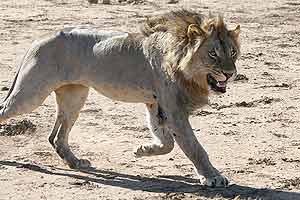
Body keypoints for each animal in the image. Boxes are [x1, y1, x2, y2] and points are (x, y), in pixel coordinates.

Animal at [0, 9, 240, 188]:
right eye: (213, 54)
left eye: (233, 52)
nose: (230, 73)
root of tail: (39, 39)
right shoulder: (173, 108)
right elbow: (193, 146)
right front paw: (213, 177)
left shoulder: (155, 103)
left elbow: (167, 142)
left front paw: (142, 150)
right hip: (30, 94)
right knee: (5, 110)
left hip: (74, 97)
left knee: (57, 137)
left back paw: (76, 162)